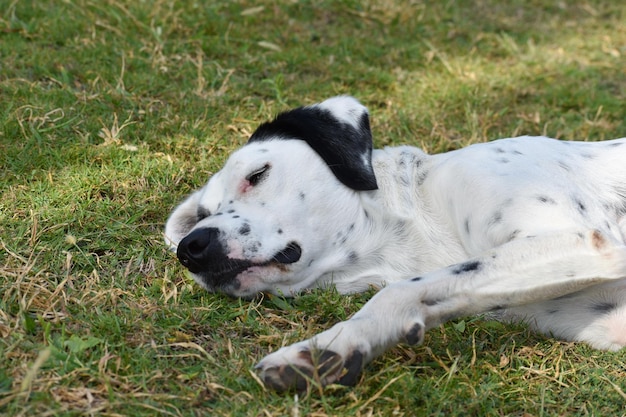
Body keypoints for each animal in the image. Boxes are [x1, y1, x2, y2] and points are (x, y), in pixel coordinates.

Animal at [166, 95, 624, 390]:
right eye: (202, 214)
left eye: (257, 174)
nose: (191, 247)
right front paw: (331, 350)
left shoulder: (583, 240)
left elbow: (400, 291)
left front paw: (324, 346)